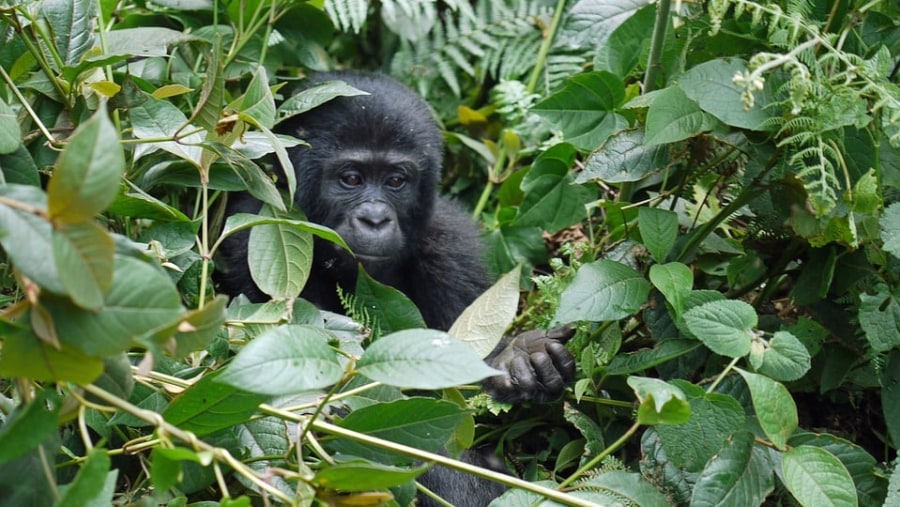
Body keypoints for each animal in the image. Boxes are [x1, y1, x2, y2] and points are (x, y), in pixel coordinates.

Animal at [214, 71, 572, 507]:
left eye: (396, 181)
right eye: (351, 178)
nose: (374, 218)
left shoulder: (451, 243)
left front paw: (519, 357)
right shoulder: (256, 232)